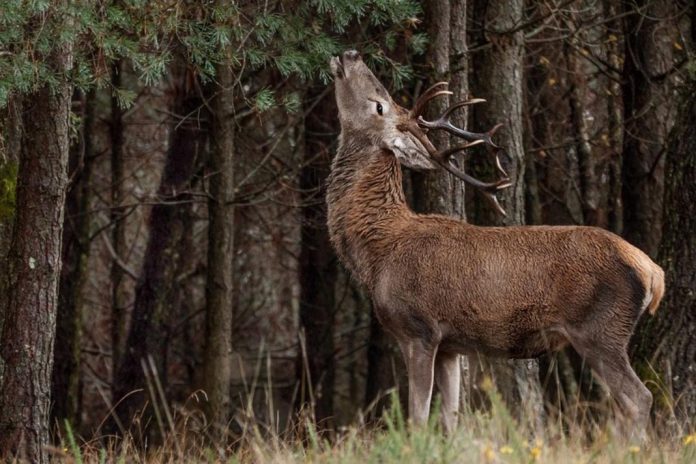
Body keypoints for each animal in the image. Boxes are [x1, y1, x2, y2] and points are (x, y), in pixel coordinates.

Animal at [326, 49, 664, 436]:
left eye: (379, 105)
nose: (350, 54)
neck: (377, 253)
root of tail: (653, 272)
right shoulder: (450, 345)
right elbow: (451, 417)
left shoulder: (418, 329)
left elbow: (418, 418)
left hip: (601, 329)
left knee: (638, 398)